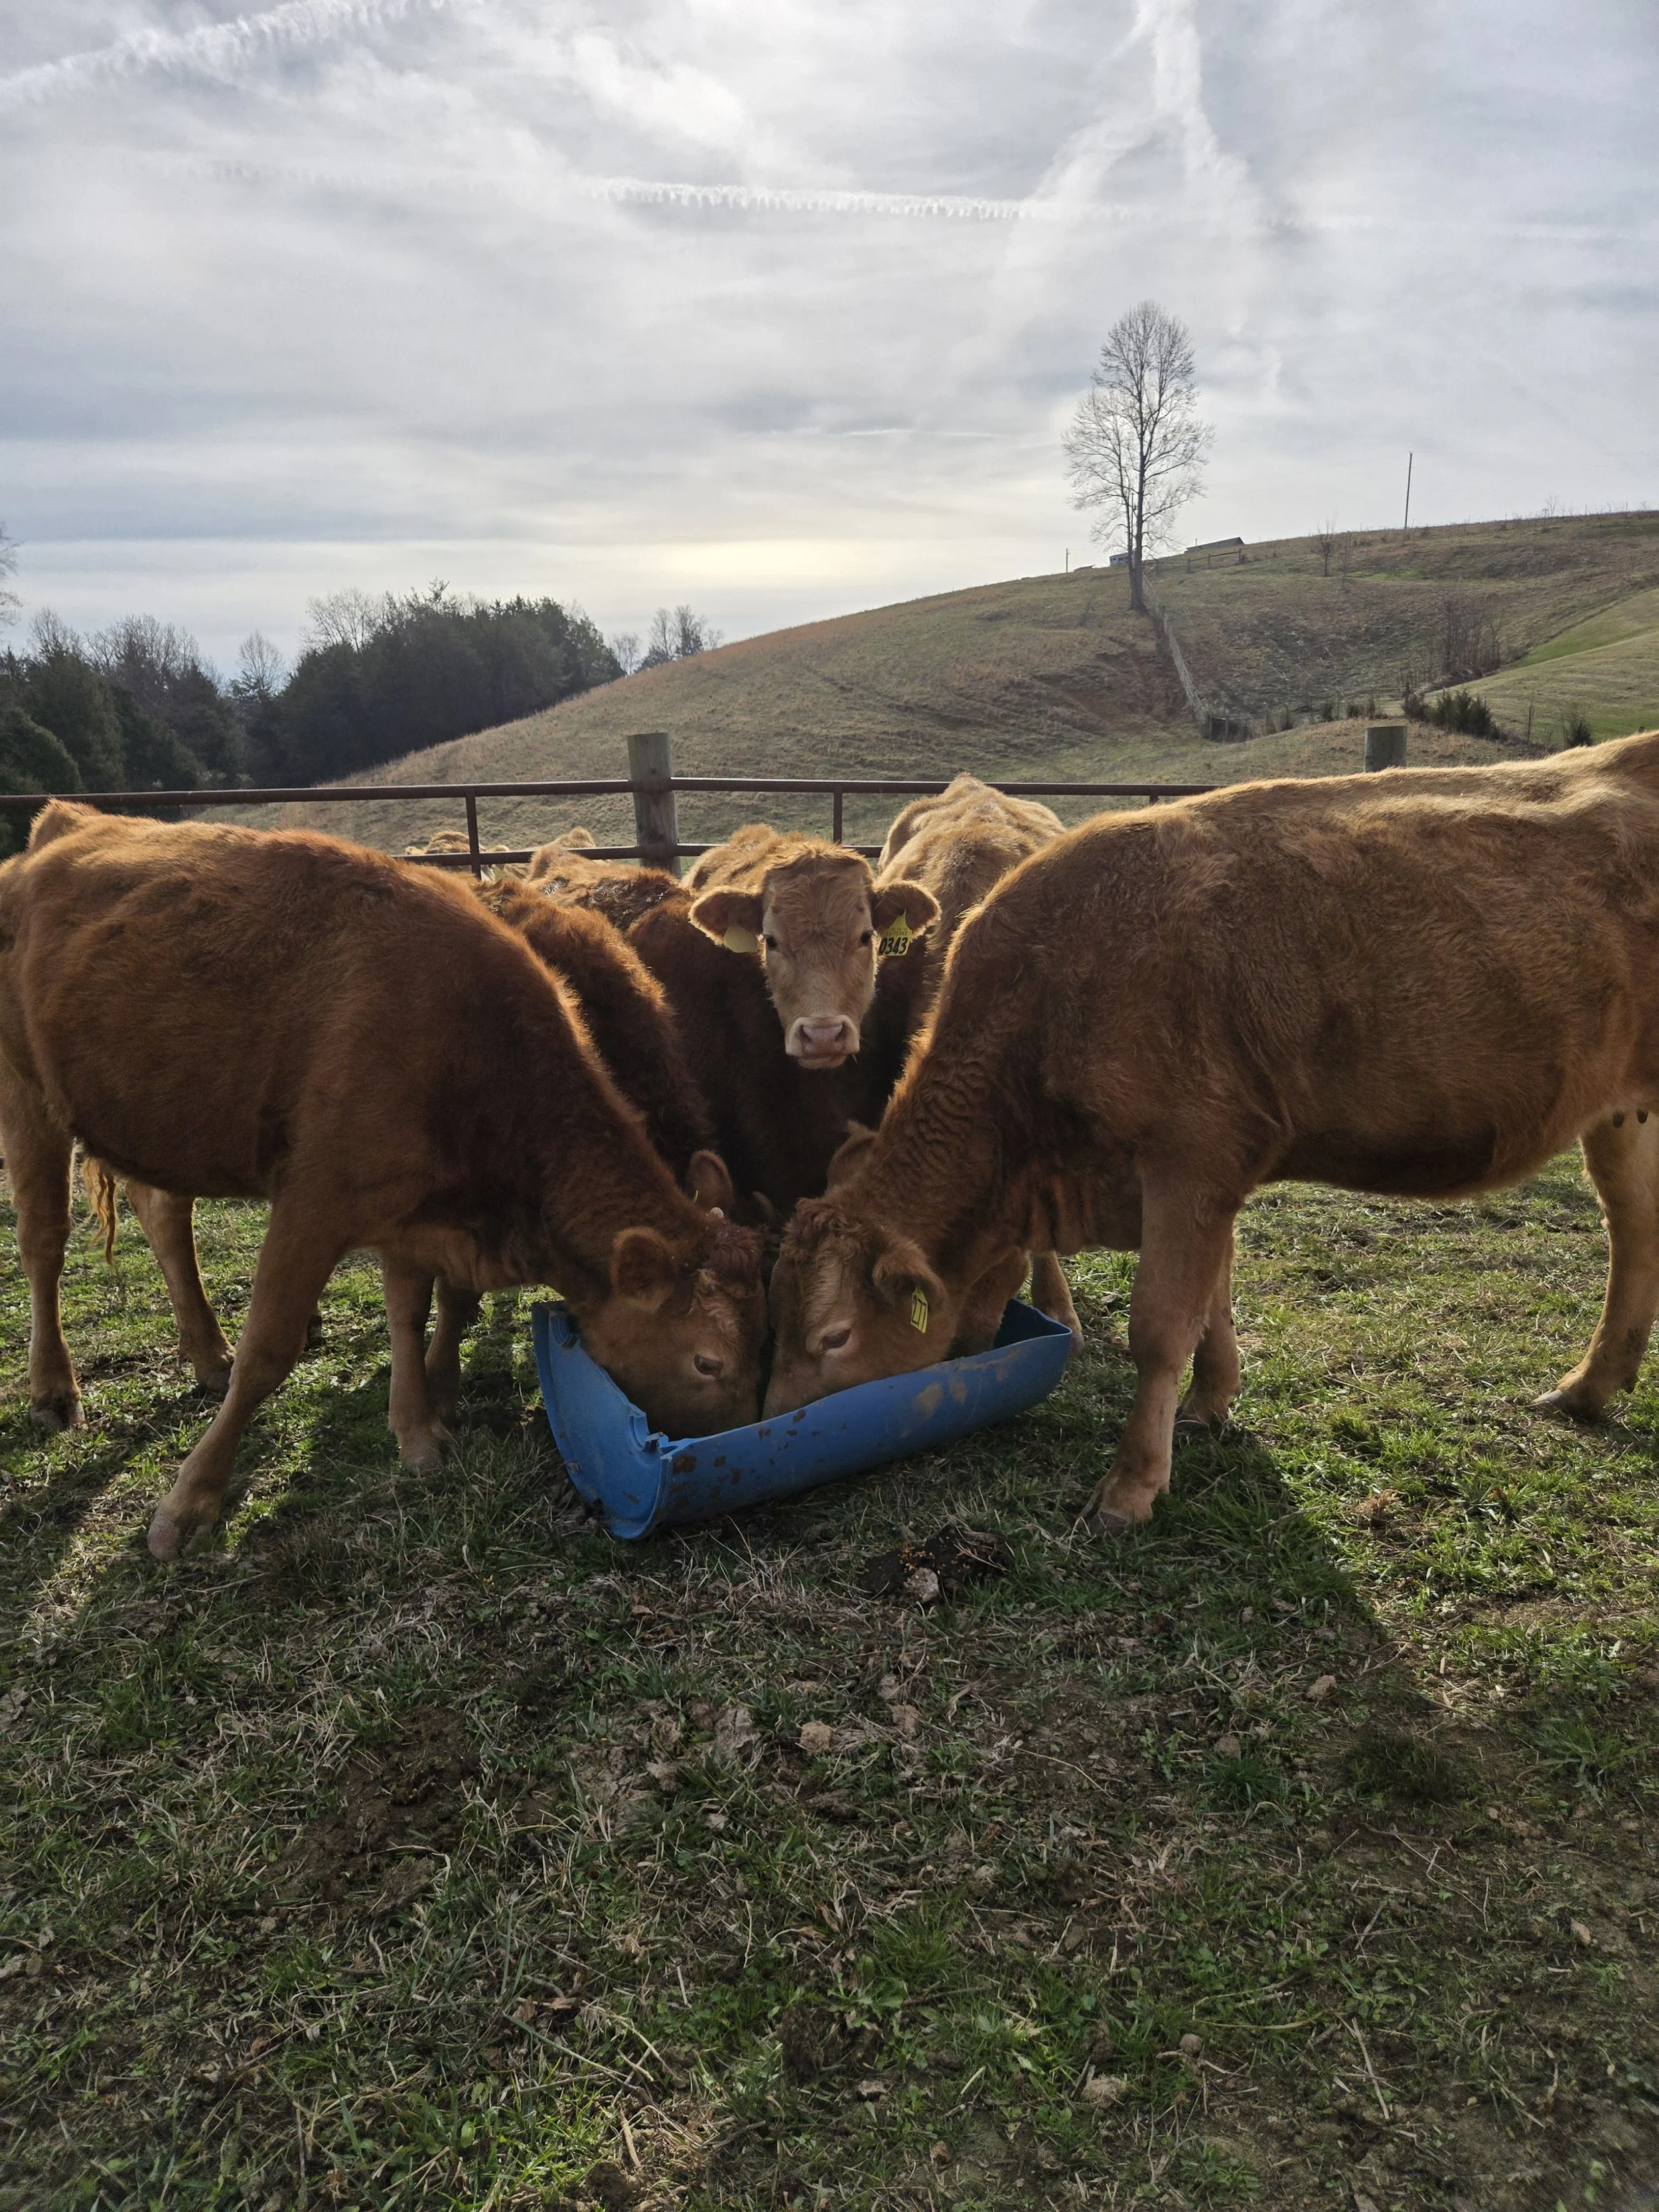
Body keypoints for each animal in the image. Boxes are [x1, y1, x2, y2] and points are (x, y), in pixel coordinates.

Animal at [0, 804, 766, 1559]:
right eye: (706, 1362)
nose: (736, 1436)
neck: (467, 1040)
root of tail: (51, 836)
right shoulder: (314, 1204)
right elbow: (270, 1350)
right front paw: (188, 1506)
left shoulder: (411, 1209)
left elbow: (412, 1308)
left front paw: (419, 1432)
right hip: (28, 1101)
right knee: (44, 1240)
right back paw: (55, 1391)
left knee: (162, 1212)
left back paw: (206, 1352)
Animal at [764, 733, 1659, 1531]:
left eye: (833, 1335)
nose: (773, 1419)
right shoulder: (1212, 1176)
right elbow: (1213, 1298)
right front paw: (1211, 1399)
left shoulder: (1187, 1163)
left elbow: (1160, 1327)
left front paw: (1130, 1487)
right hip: (1621, 1115)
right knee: (1633, 1227)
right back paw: (1587, 1388)